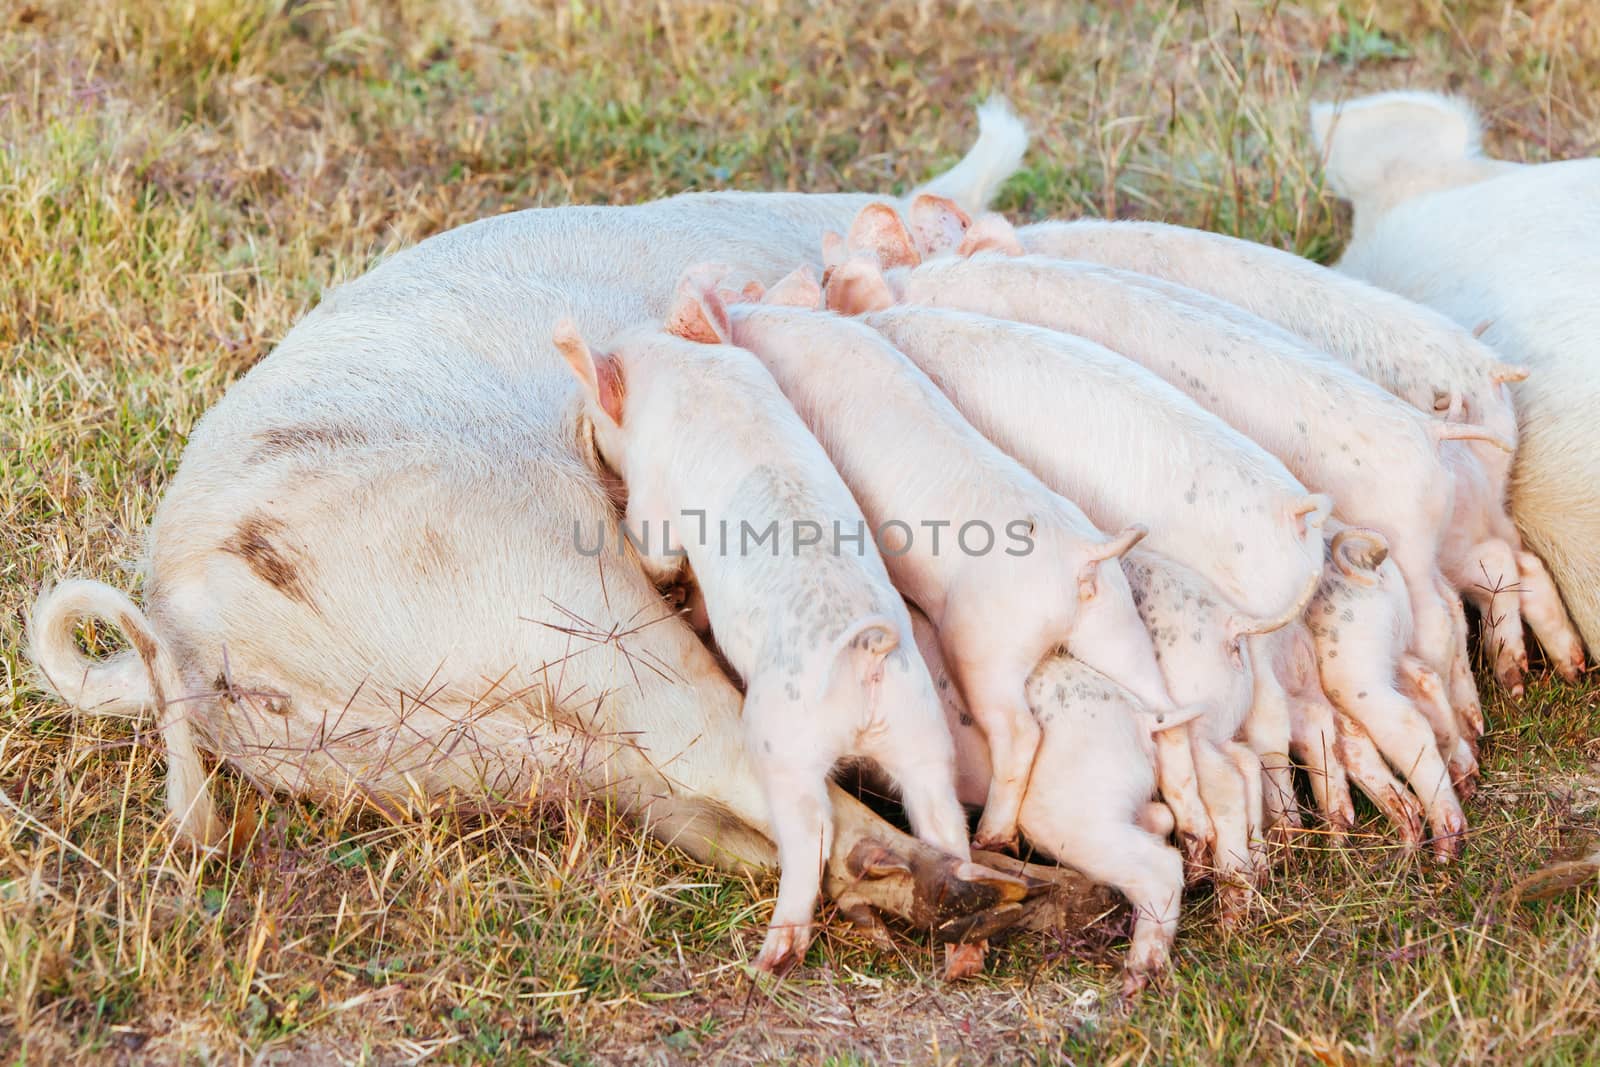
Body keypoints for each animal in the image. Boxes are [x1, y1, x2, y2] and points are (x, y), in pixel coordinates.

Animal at [553, 278, 972, 979]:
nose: (579, 432)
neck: (684, 369)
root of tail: (866, 652)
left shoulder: (655, 495)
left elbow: (656, 552)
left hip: (783, 740)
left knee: (813, 830)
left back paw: (771, 958)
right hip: (921, 730)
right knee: (942, 822)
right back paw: (967, 946)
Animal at [716, 279, 1209, 863]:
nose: (733, 308)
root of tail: (1082, 555)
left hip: (983, 646)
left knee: (1020, 732)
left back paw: (993, 837)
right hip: (1114, 621)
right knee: (1167, 709)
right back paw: (1197, 833)